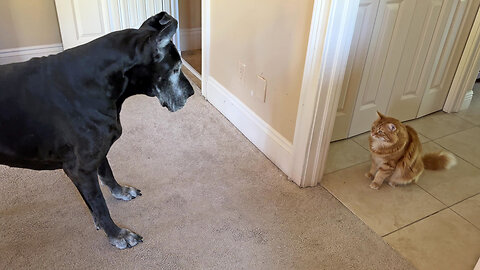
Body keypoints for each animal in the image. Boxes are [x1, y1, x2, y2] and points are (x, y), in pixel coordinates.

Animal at [0, 12, 195, 249]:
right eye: (175, 68)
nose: (192, 92)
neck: (97, 83)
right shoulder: (81, 169)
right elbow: (101, 206)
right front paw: (118, 235)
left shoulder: (97, 152)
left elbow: (107, 174)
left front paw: (120, 192)